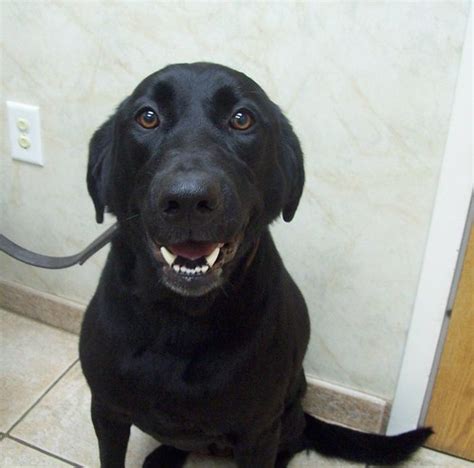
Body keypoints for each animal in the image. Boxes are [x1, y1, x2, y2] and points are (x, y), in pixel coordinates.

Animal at [79, 63, 432, 468]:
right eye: (147, 117)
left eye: (242, 119)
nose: (188, 199)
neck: (180, 318)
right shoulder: (106, 411)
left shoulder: (258, 431)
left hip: (286, 414)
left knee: (292, 442)